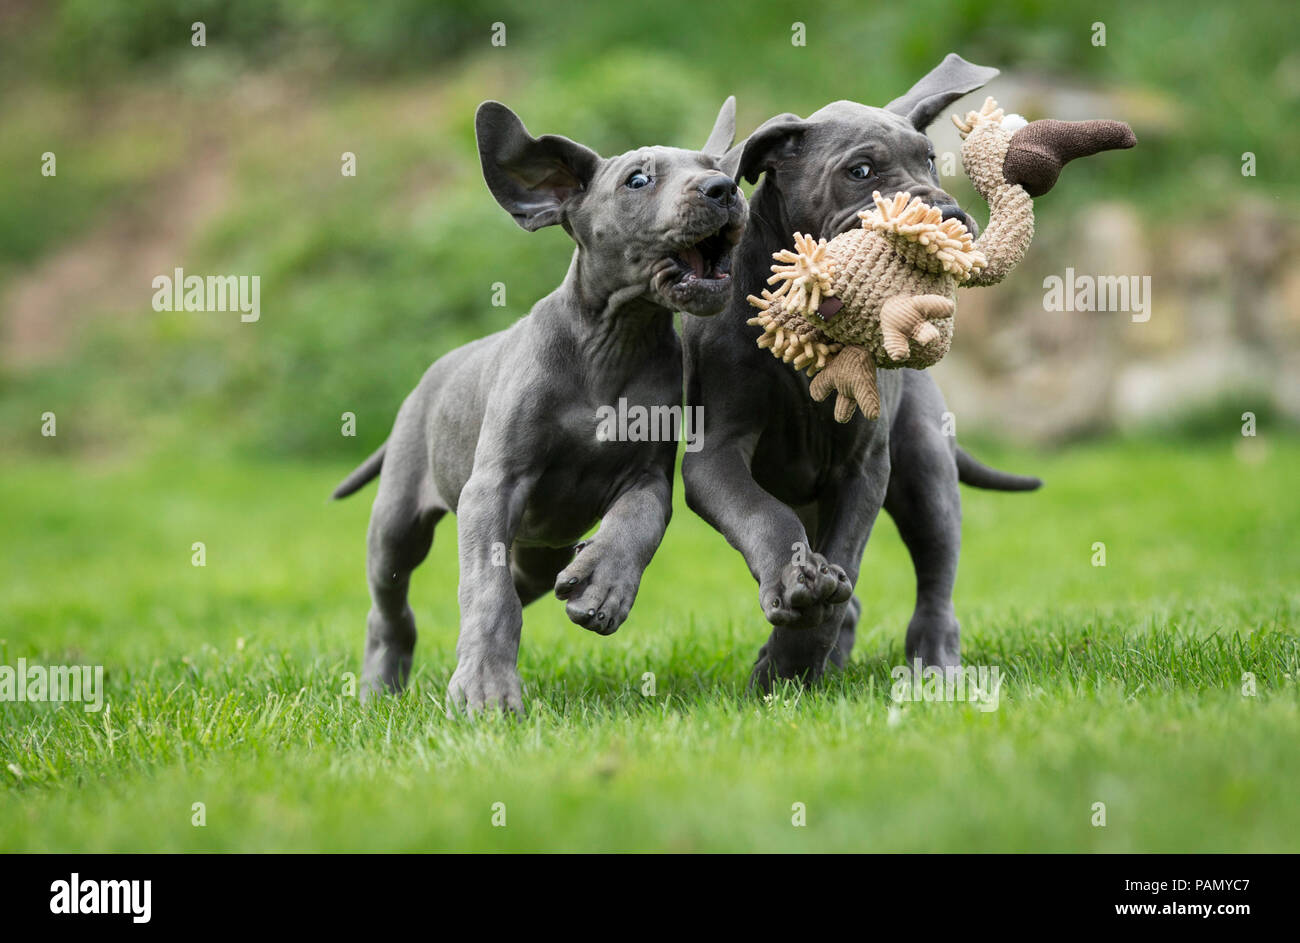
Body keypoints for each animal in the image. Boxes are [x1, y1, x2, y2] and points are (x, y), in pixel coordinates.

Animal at [330, 99, 748, 707]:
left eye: (713, 165)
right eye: (638, 180)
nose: (724, 188)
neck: (614, 340)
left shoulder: (648, 477)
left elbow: (638, 523)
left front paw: (604, 584)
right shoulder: (493, 486)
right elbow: (487, 592)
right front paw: (485, 686)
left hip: (540, 548)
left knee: (520, 578)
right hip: (397, 524)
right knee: (390, 606)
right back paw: (379, 687)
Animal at [686, 53, 1040, 686]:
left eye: (930, 159)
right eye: (861, 170)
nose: (952, 219)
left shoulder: (863, 466)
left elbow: (846, 556)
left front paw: (793, 654)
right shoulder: (715, 453)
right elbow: (763, 517)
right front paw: (794, 605)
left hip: (925, 471)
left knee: (936, 578)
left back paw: (931, 661)